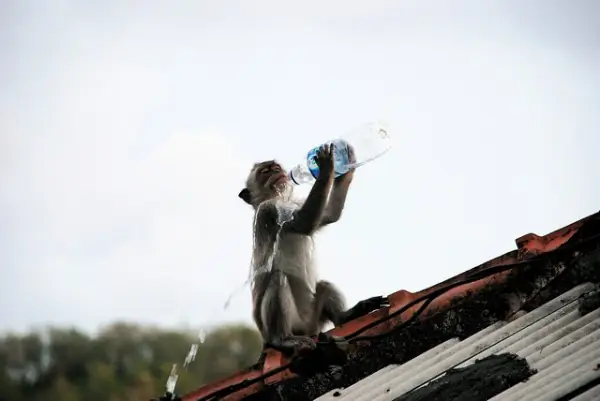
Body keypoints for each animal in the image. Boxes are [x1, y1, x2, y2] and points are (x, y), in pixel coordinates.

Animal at [239, 142, 390, 354]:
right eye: (265, 171)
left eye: (276, 167)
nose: (277, 172)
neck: (279, 199)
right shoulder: (268, 211)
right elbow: (304, 223)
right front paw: (327, 167)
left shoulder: (293, 203)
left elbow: (328, 215)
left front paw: (345, 166)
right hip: (284, 325)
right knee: (278, 279)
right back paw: (282, 339)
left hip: (313, 316)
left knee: (324, 285)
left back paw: (345, 316)